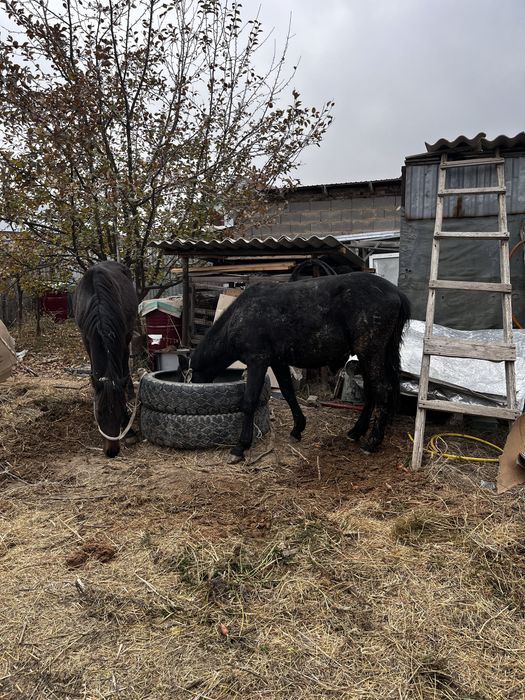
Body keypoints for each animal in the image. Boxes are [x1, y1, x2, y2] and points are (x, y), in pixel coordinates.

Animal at [73, 261, 138, 458]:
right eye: (100, 412)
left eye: (120, 409)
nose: (112, 452)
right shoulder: (86, 338)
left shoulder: (123, 337)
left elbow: (123, 368)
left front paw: (130, 430)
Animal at [189, 272, 411, 463]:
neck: (240, 316)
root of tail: (396, 292)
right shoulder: (277, 361)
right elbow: (288, 392)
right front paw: (298, 428)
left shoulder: (257, 361)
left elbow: (249, 401)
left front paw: (241, 447)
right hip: (368, 357)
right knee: (372, 392)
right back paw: (356, 432)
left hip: (370, 353)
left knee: (382, 391)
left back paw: (372, 442)